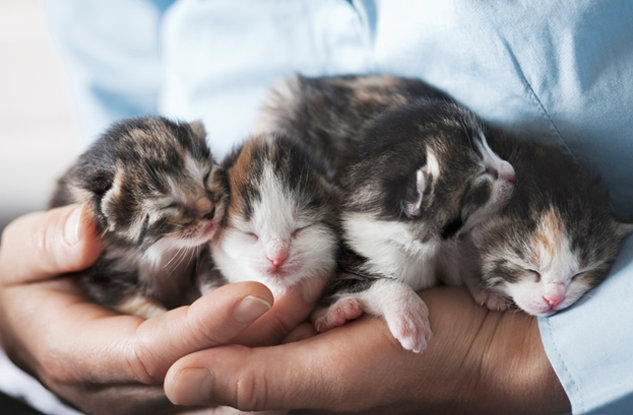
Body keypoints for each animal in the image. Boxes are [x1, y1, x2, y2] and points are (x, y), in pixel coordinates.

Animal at [50, 117, 227, 318]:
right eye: (169, 205)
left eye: (205, 177)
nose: (210, 211)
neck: (162, 250)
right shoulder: (100, 274)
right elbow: (130, 300)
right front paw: (156, 313)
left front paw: (214, 288)